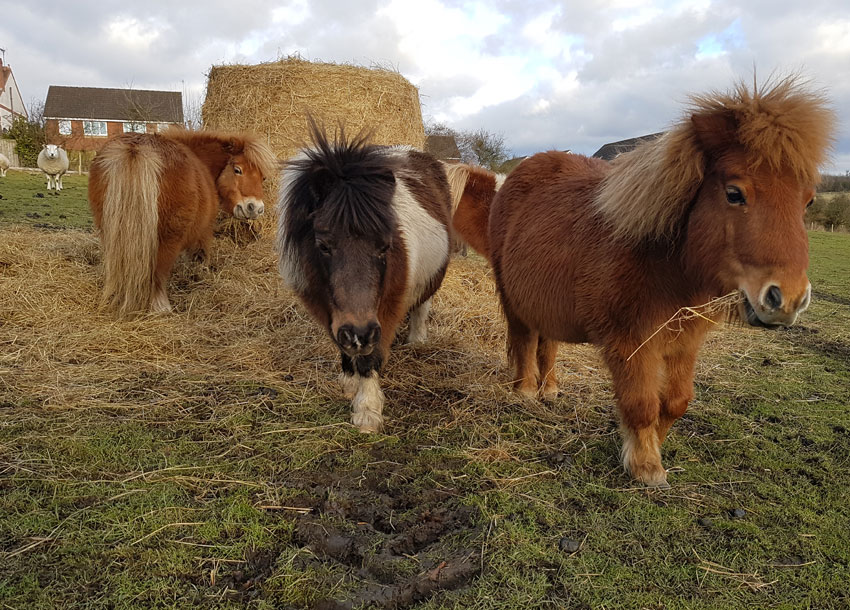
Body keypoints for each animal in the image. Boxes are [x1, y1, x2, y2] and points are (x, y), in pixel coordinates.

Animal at [88, 129, 277, 318]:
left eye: (263, 178)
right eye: (238, 170)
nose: (256, 208)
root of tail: (136, 148)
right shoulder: (203, 233)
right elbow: (199, 259)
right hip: (167, 238)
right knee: (158, 273)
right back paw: (161, 307)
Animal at [277, 128, 453, 433]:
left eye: (385, 246)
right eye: (323, 245)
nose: (359, 335)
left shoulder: (386, 309)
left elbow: (371, 358)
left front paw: (368, 410)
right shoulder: (325, 307)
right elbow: (341, 345)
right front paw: (349, 383)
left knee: (421, 306)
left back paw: (417, 340)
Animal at [451, 76, 834, 487]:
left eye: (808, 201)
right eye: (735, 194)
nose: (788, 299)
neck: (661, 263)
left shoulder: (684, 344)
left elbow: (676, 402)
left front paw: (653, 447)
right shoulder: (631, 345)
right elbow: (642, 404)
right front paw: (646, 465)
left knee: (547, 343)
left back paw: (550, 389)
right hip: (513, 298)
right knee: (523, 341)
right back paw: (524, 391)